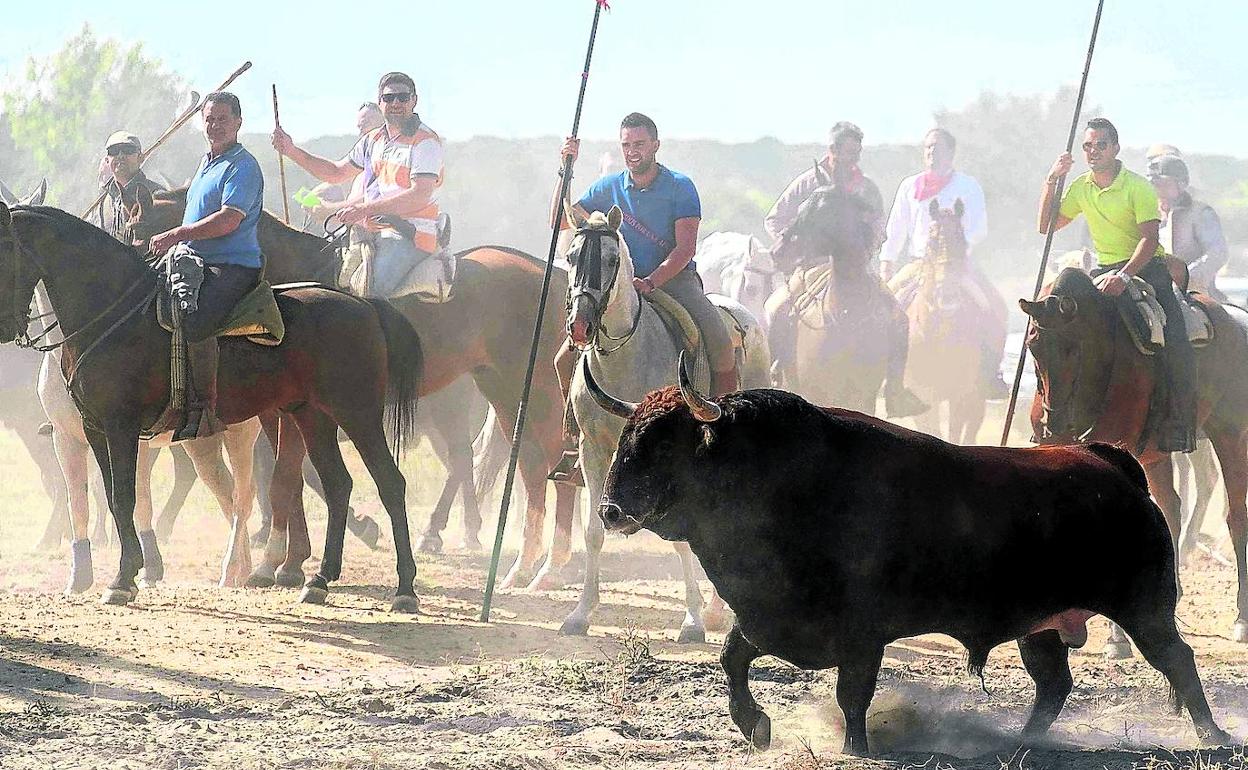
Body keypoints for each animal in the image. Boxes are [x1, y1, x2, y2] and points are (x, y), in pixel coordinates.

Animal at [0, 200, 426, 609]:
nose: (6, 329)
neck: (113, 316)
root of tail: (363, 305)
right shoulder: (93, 429)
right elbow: (111, 498)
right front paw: (129, 574)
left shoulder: (122, 428)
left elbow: (124, 498)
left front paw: (123, 580)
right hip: (311, 416)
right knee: (337, 484)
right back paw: (318, 581)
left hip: (356, 414)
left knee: (389, 483)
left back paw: (404, 589)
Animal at [129, 185, 576, 589]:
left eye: (139, 232)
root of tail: (555, 275)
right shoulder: (287, 410)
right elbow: (293, 475)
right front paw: (290, 559)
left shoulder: (288, 410)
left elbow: (288, 475)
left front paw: (291, 558)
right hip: (500, 388)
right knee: (525, 464)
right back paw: (523, 563)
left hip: (530, 388)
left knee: (543, 458)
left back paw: (546, 565)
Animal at [559, 207, 768, 638]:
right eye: (570, 256)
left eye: (611, 259)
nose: (580, 325)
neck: (624, 360)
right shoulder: (593, 450)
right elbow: (592, 532)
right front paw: (580, 613)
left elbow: (683, 536)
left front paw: (692, 620)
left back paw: (718, 610)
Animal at [581, 356, 1228, 753]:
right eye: (627, 435)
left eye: (665, 441)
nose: (610, 509)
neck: (782, 481)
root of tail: (1110, 463)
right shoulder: (767, 619)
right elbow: (731, 658)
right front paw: (756, 726)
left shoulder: (861, 635)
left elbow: (852, 694)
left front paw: (853, 747)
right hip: (1040, 627)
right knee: (1053, 686)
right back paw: (1023, 740)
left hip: (1144, 611)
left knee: (1178, 661)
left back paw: (1214, 737)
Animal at [1023, 267, 1248, 643]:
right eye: (1032, 343)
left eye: (1072, 347)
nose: (1052, 422)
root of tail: (1236, 319)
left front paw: (1117, 638)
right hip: (1157, 454)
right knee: (1171, 508)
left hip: (1229, 433)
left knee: (1236, 516)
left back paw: (1242, 617)